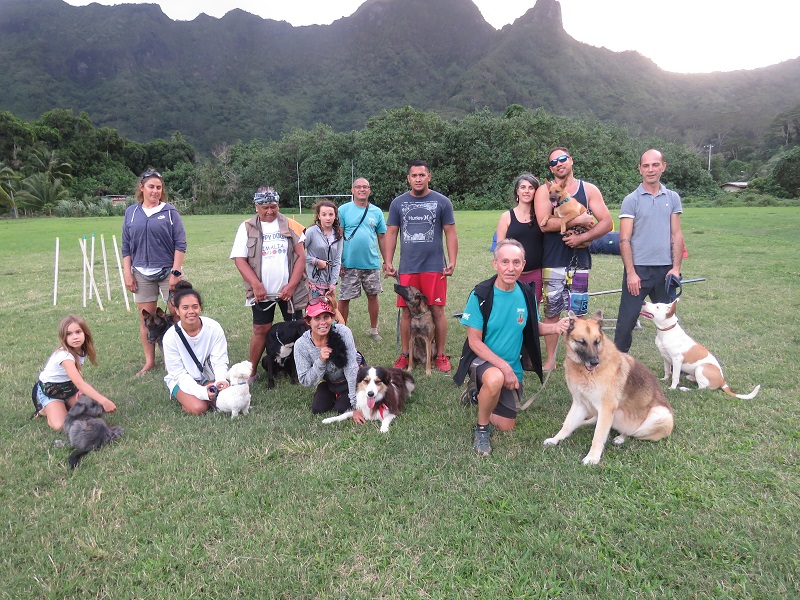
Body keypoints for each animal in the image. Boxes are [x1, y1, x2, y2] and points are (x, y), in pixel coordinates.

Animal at [544, 312, 676, 466]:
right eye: (582, 342)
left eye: (597, 342)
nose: (595, 362)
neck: (586, 372)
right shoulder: (580, 404)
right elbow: (567, 425)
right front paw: (555, 439)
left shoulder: (606, 408)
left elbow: (598, 435)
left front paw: (592, 457)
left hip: (660, 415)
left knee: (634, 431)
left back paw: (621, 437)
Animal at [636, 300, 764, 398]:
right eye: (656, 303)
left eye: (657, 307)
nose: (643, 302)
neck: (666, 331)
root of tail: (723, 381)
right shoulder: (665, 357)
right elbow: (667, 370)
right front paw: (664, 379)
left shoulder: (677, 359)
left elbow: (675, 376)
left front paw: (672, 388)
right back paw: (690, 378)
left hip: (701, 368)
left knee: (702, 389)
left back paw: (685, 389)